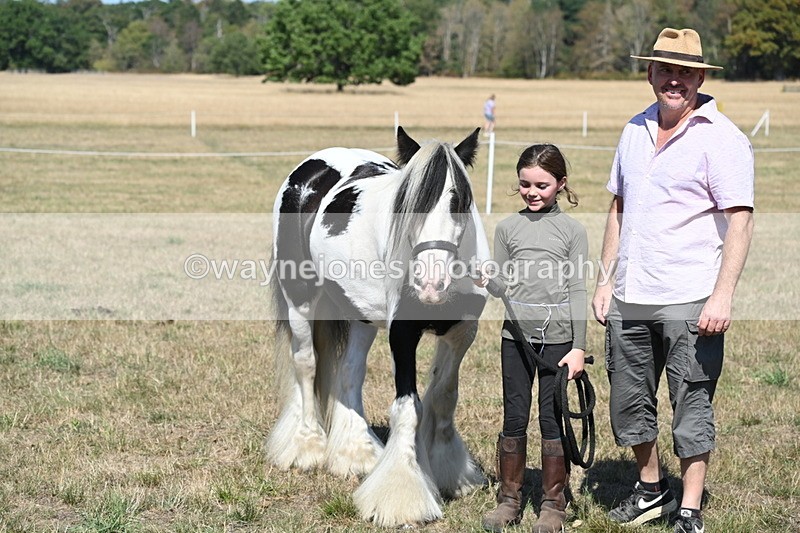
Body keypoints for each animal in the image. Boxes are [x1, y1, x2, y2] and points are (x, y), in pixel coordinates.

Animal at [266, 127, 490, 526]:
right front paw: (402, 497)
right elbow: (408, 407)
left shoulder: (461, 332)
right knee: (306, 366)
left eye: (460, 201)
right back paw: (307, 447)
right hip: (300, 303)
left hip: (361, 316)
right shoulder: (402, 333)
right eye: (405, 203)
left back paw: (357, 454)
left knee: (350, 373)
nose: (430, 284)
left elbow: (444, 398)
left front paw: (448, 471)